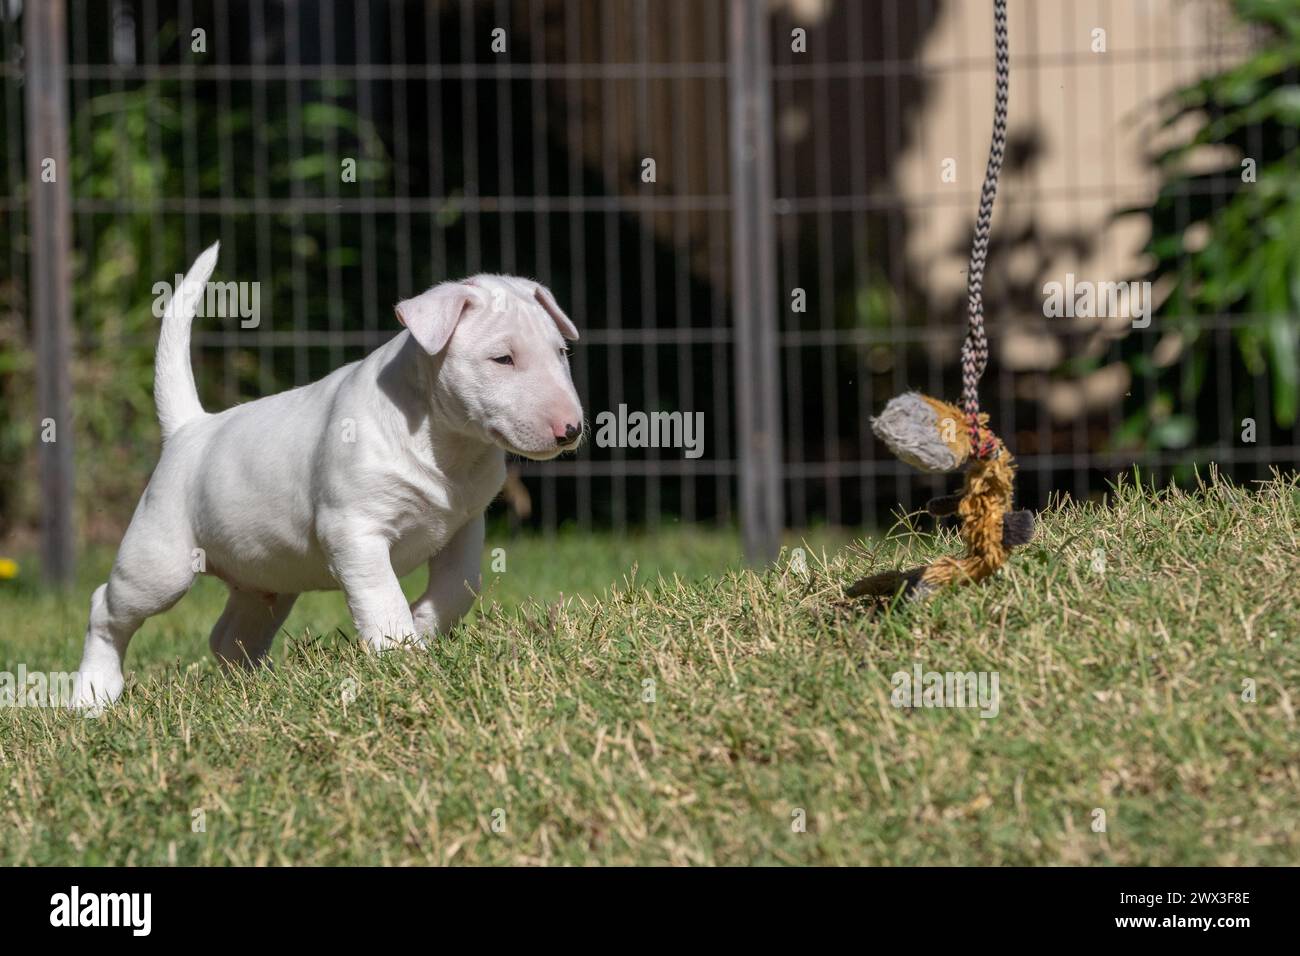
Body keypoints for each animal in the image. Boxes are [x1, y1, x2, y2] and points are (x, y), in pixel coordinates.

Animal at [69, 244, 579, 712]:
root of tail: (190, 429)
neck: (443, 442)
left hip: (267, 581)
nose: (572, 430)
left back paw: (256, 691)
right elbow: (381, 596)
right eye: (503, 359)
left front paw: (423, 626)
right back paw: (93, 696)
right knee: (104, 609)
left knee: (228, 636)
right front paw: (401, 656)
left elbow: (461, 585)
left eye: (561, 352)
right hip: (160, 564)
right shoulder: (354, 530)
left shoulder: (464, 525)